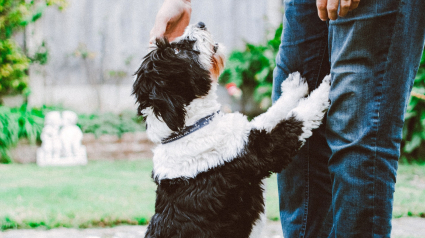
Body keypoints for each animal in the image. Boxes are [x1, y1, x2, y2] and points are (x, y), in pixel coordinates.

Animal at [132, 21, 332, 238]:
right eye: (176, 51)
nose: (200, 23)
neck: (190, 128)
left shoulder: (248, 134)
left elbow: (271, 113)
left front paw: (294, 88)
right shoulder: (263, 150)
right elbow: (298, 118)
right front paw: (327, 85)